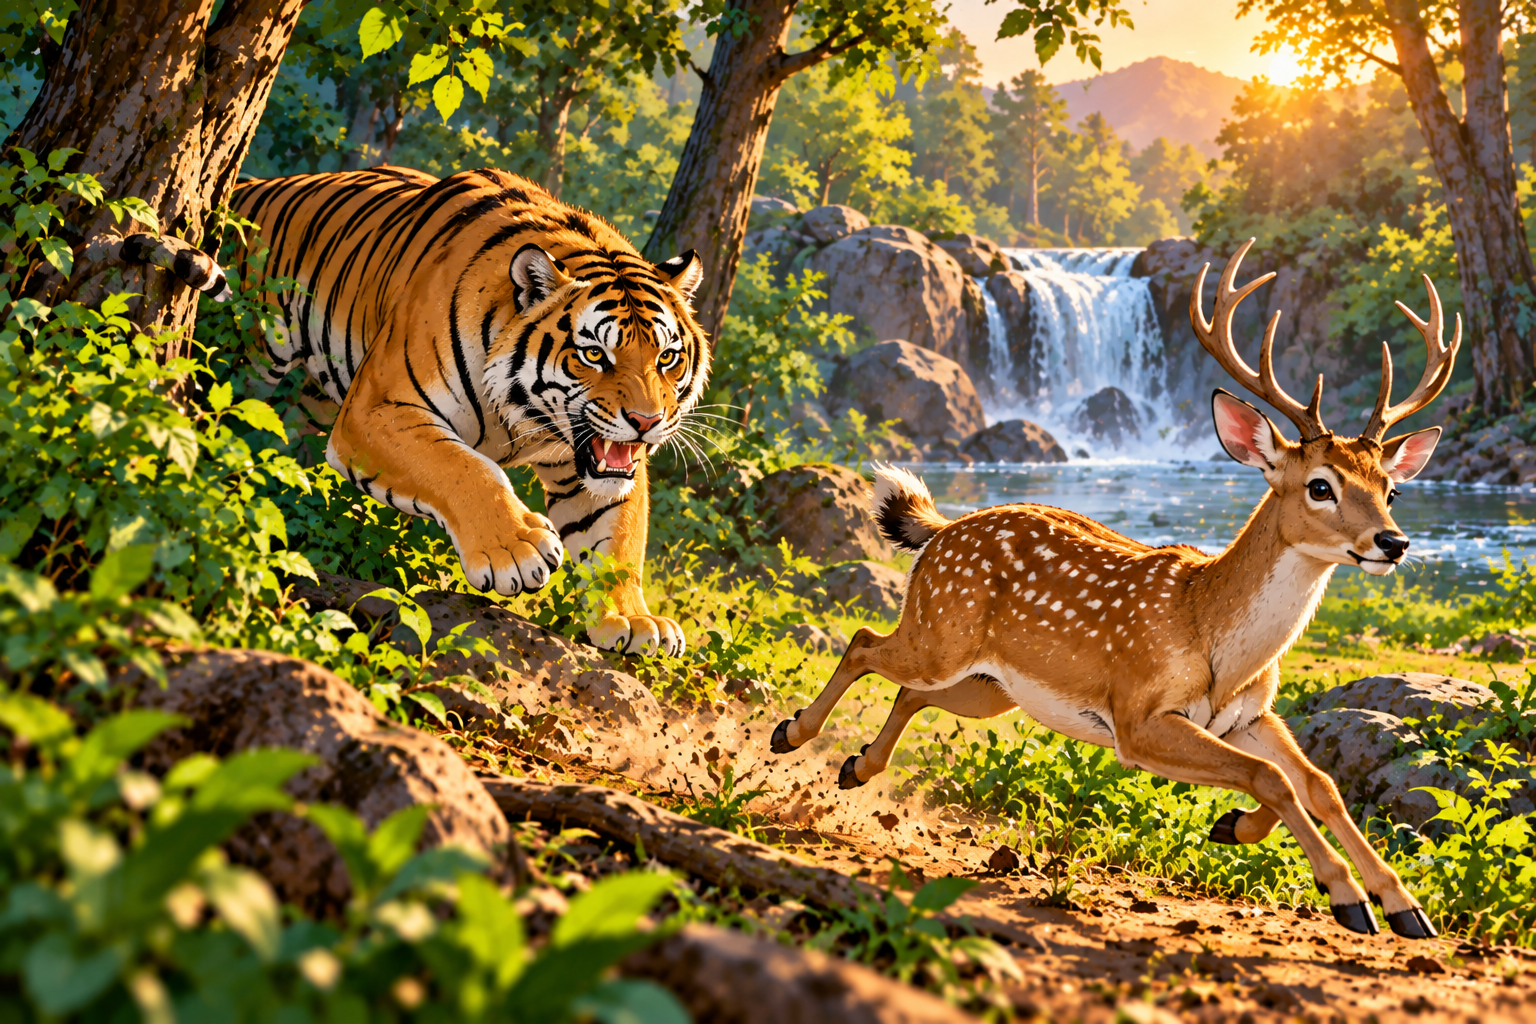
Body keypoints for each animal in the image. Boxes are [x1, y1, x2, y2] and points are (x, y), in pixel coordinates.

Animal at [228, 166, 710, 656]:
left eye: (666, 357)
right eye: (594, 354)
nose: (646, 422)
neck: (523, 413)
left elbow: (617, 537)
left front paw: (632, 620)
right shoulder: (377, 408)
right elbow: (464, 467)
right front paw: (515, 551)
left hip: (314, 405)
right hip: (249, 358)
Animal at [770, 239, 1457, 940]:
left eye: (1391, 489)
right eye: (1320, 485)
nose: (1393, 542)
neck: (1213, 640)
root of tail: (942, 529)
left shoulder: (1252, 715)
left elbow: (1319, 783)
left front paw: (1401, 906)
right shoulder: (1138, 715)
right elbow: (1270, 778)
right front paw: (1346, 897)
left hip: (989, 687)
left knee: (909, 689)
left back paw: (856, 766)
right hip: (940, 634)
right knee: (863, 640)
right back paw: (791, 734)